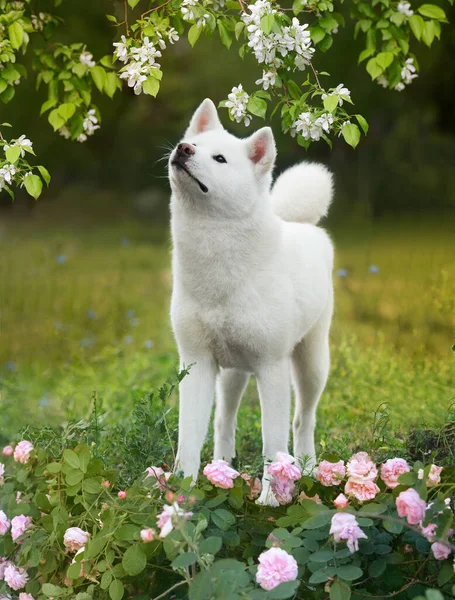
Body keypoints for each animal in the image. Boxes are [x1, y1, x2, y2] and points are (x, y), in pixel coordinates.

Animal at [169, 99, 334, 506]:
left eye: (220, 159)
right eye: (191, 143)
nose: (183, 149)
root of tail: (301, 225)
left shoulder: (271, 367)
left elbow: (272, 442)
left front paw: (272, 500)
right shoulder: (195, 364)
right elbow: (190, 435)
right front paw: (182, 493)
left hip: (311, 364)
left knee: (302, 420)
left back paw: (308, 469)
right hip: (233, 373)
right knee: (223, 419)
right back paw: (222, 467)